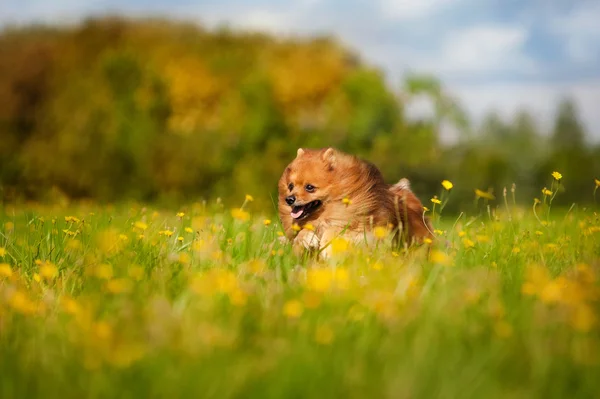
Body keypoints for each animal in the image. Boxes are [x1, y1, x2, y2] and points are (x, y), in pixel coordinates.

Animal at [276, 148, 432, 258]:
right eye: (290, 186)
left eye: (309, 187)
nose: (289, 199)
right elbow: (302, 233)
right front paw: (306, 238)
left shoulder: (358, 227)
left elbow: (335, 229)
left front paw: (328, 246)